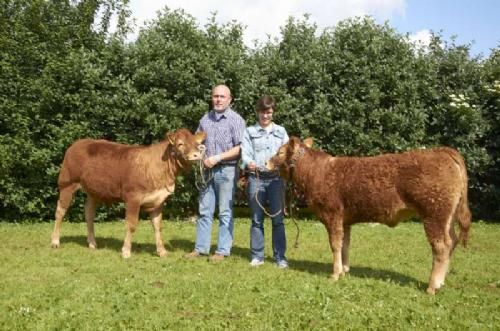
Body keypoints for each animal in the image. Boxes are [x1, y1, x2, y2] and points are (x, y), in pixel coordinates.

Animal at [51, 128, 207, 258]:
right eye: (180, 144)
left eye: (197, 144)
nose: (196, 155)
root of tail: (78, 143)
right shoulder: (133, 198)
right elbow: (131, 224)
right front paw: (126, 251)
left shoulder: (158, 201)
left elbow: (158, 226)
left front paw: (162, 251)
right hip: (67, 184)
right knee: (60, 211)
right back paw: (55, 241)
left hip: (92, 191)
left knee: (89, 214)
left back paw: (92, 243)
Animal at [268, 137, 470, 296]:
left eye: (280, 152)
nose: (266, 163)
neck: (317, 172)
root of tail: (442, 151)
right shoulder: (345, 220)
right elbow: (345, 245)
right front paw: (345, 270)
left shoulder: (332, 215)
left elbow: (335, 245)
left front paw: (335, 274)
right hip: (447, 217)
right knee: (452, 240)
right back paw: (441, 281)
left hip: (434, 214)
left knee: (441, 246)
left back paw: (433, 286)